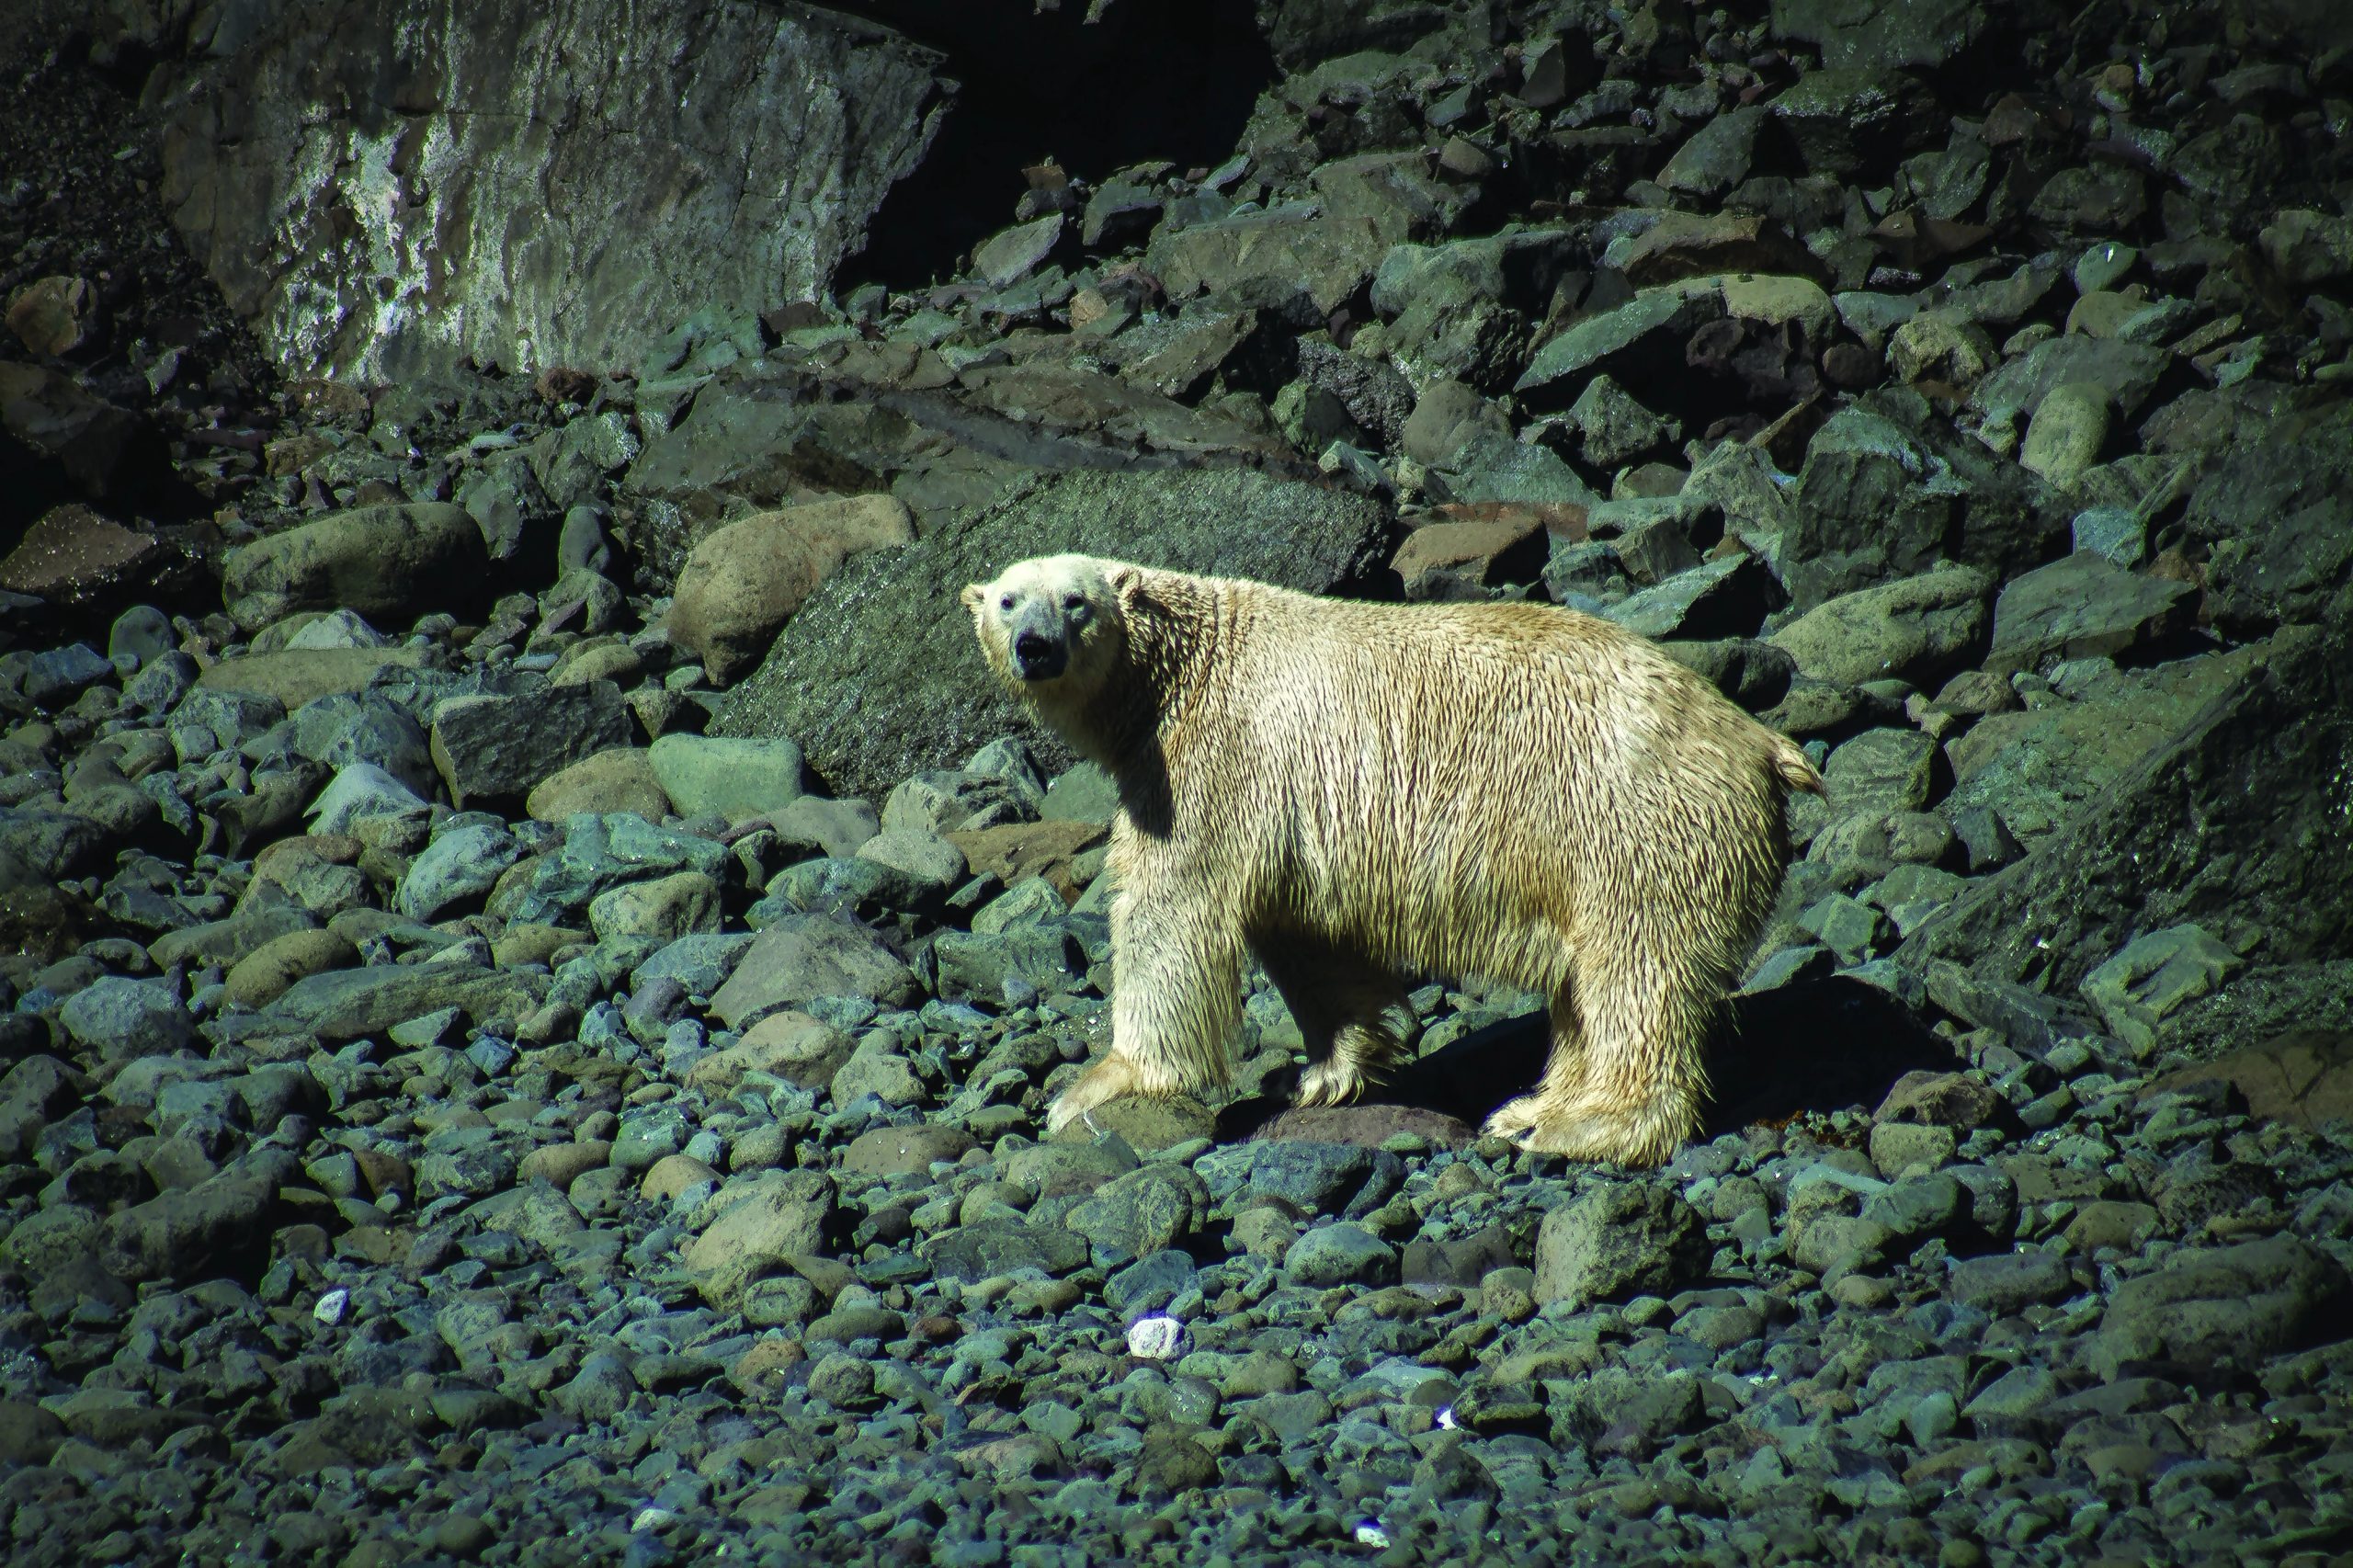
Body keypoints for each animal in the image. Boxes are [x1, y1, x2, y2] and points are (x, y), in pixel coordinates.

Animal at [960, 553, 1824, 1167]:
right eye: (1008, 600)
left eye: (1075, 601)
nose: (1035, 646)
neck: (1191, 663)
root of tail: (1761, 741)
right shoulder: (1286, 811)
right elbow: (1303, 936)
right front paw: (1325, 1072)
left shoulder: (1207, 760)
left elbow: (1170, 910)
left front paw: (1096, 1087)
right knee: (1589, 986)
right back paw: (1530, 1107)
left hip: (1634, 820)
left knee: (1635, 969)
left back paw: (1586, 1126)